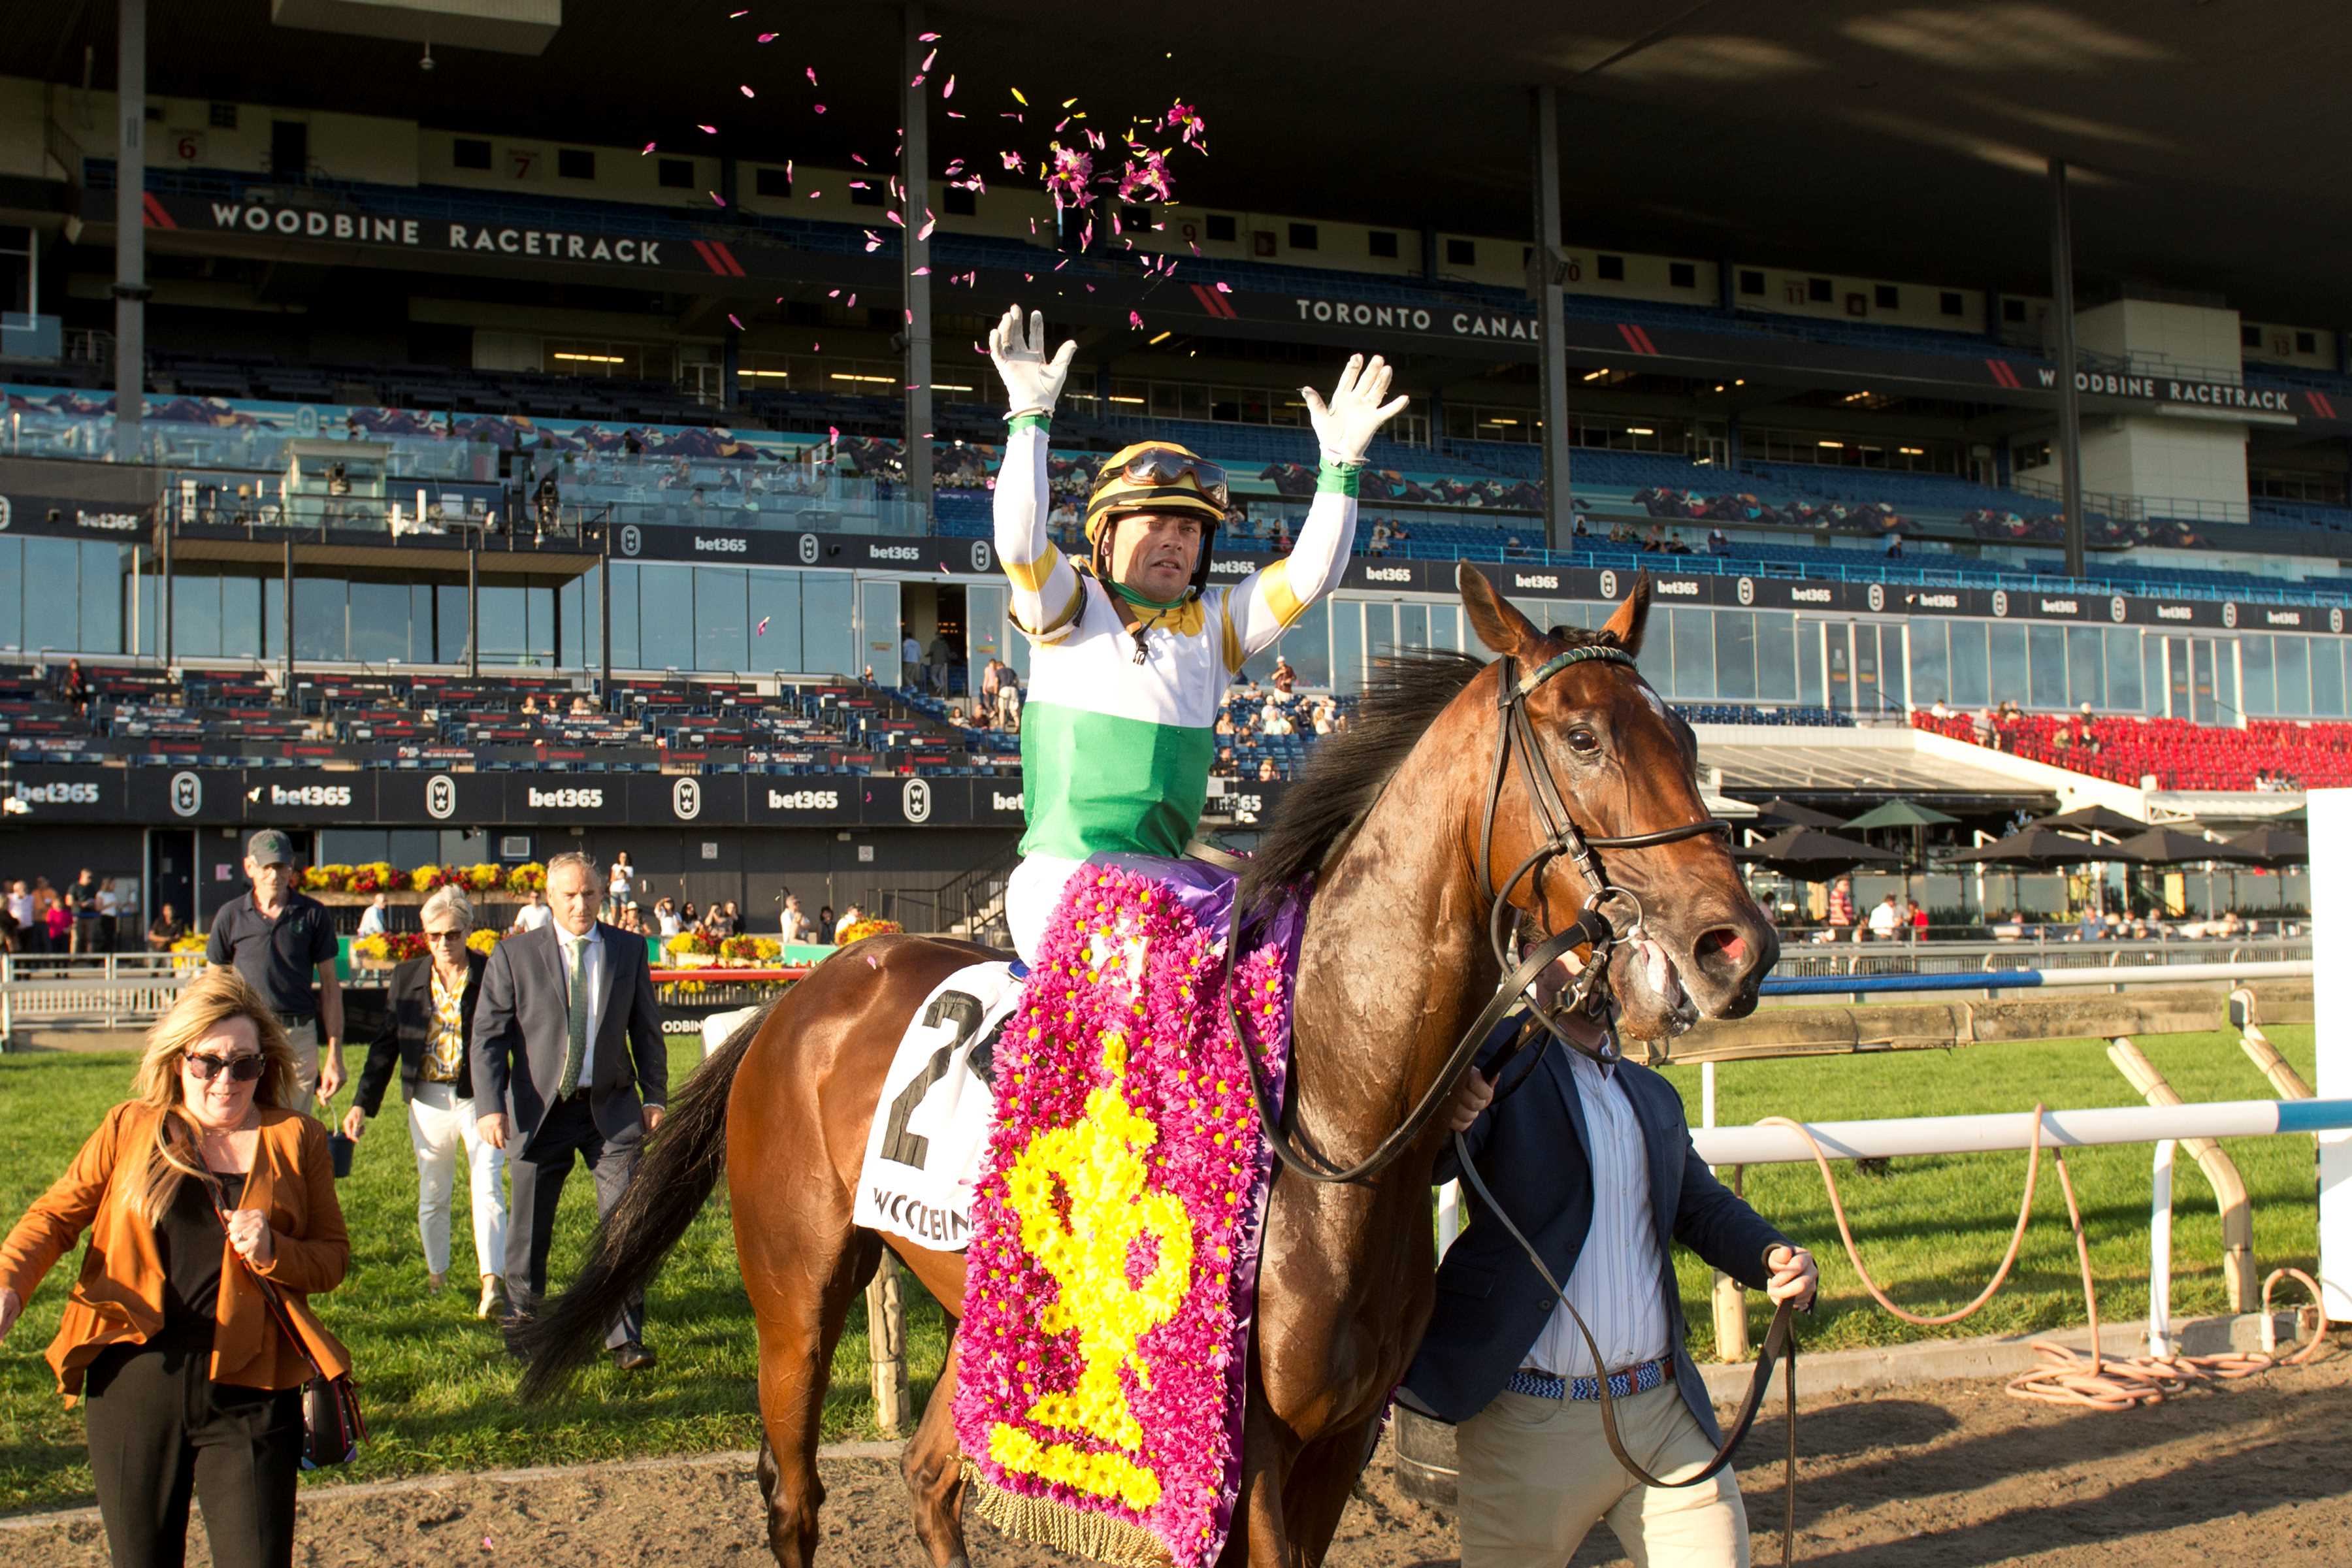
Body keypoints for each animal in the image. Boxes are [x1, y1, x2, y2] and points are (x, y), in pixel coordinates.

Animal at [515, 566, 1769, 1568]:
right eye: (1584, 738)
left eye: (1687, 741)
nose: (1736, 944)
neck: (1334, 1115)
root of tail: (800, 999)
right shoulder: (1238, 1452)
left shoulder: (1341, 1437)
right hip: (795, 1297)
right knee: (795, 1500)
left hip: (986, 1312)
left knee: (931, 1476)